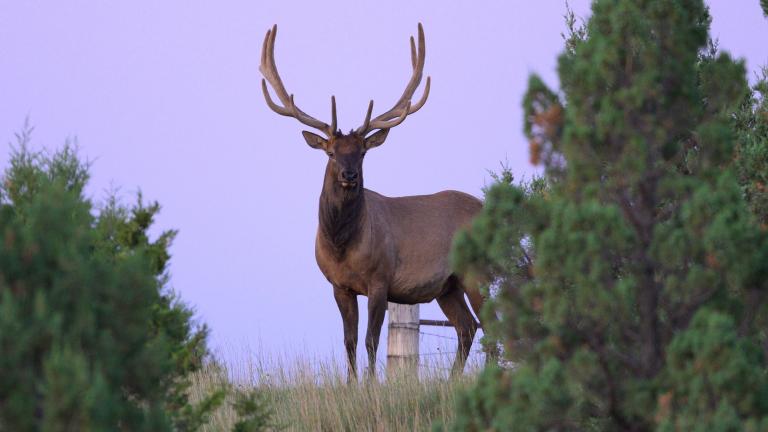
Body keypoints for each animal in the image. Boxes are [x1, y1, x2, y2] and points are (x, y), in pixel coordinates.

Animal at [259, 23, 489, 379]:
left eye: (363, 152)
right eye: (331, 152)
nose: (350, 174)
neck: (343, 247)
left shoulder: (381, 279)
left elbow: (371, 340)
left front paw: (370, 383)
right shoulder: (339, 285)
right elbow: (349, 340)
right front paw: (351, 384)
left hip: (477, 270)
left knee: (493, 325)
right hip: (448, 286)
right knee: (467, 327)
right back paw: (453, 380)